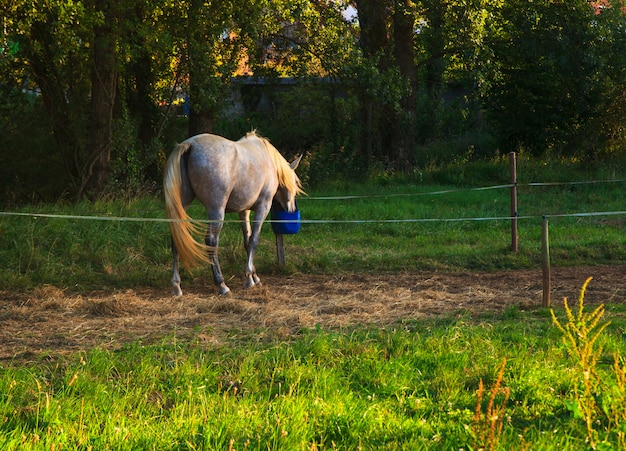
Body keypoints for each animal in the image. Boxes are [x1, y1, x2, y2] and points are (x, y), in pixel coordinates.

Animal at [162, 131, 302, 296]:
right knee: (211, 241)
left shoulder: (244, 211)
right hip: (216, 210)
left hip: (182, 207)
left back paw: (176, 286)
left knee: (177, 239)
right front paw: (248, 279)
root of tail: (190, 145)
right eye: (295, 182)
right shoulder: (263, 207)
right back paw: (221, 284)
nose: (291, 210)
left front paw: (254, 277)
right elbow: (254, 240)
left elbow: (247, 241)